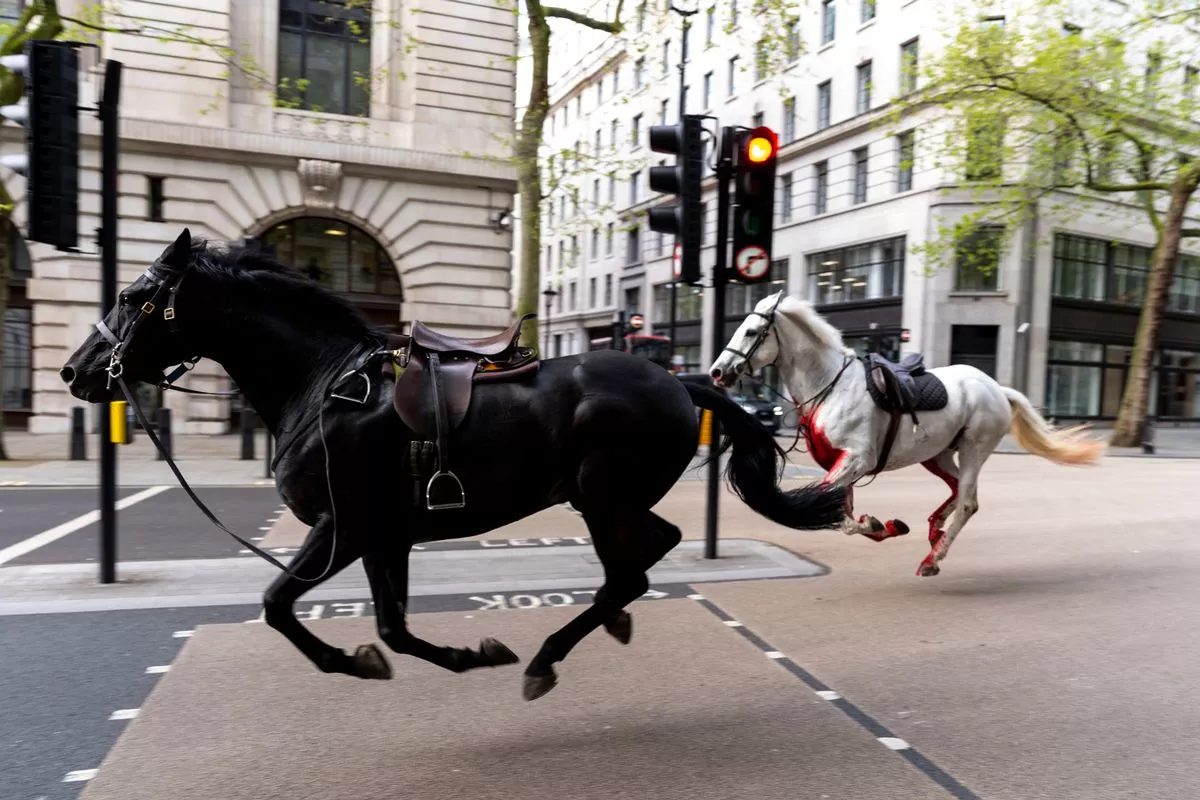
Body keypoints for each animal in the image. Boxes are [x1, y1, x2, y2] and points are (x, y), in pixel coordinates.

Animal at [58, 230, 844, 700]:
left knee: (631, 569)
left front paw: (357, 661)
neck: (324, 384)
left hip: (600, 496)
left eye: (131, 296)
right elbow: (391, 628)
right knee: (650, 553)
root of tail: (679, 382)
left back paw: (548, 656)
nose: (75, 371)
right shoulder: (384, 535)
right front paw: (458, 655)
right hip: (606, 498)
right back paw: (603, 625)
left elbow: (280, 604)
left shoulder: (343, 527)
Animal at [705, 291, 1108, 578]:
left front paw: (875, 523)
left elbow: (837, 513)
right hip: (938, 454)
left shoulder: (857, 459)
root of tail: (996, 387)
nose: (717, 372)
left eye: (752, 331)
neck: (831, 386)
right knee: (959, 491)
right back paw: (934, 532)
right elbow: (841, 512)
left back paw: (933, 557)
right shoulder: (843, 463)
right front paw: (883, 525)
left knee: (967, 502)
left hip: (974, 449)